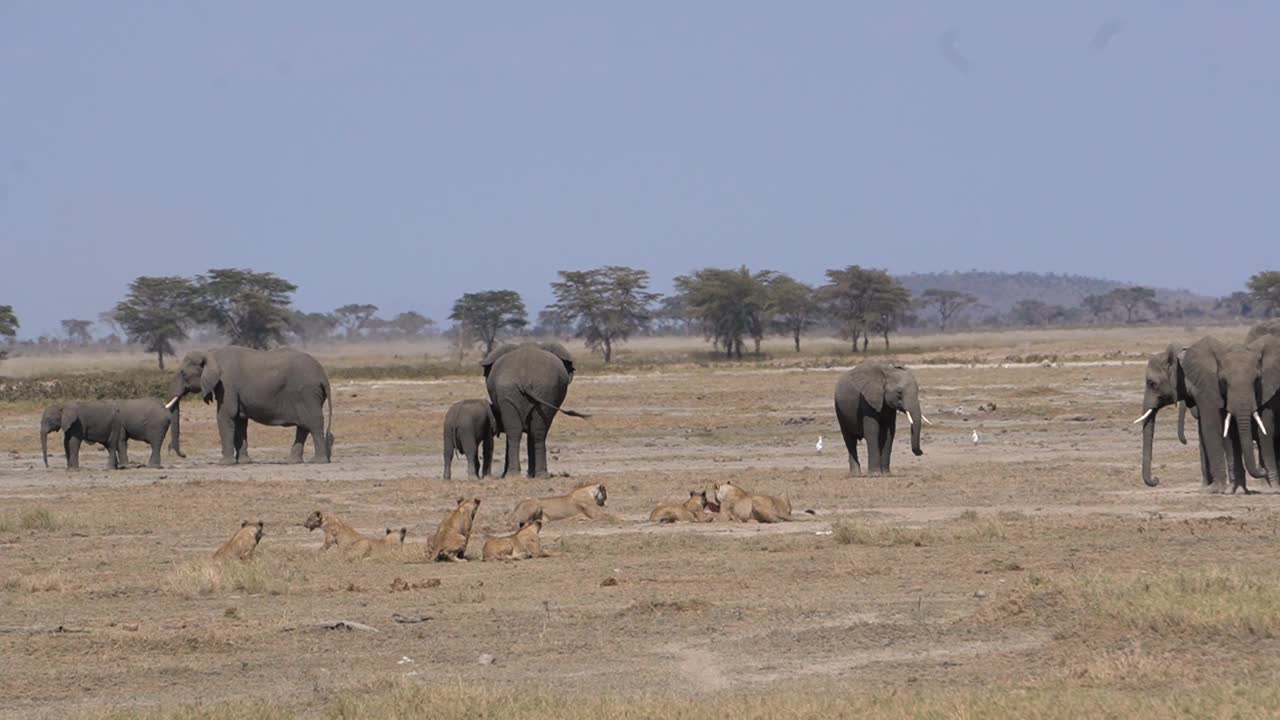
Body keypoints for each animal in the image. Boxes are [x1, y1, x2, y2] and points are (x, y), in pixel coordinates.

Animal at [165, 345, 335, 461]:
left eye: (183, 374)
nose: (184, 455)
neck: (211, 353)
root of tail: (323, 376)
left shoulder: (227, 385)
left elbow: (225, 416)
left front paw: (225, 463)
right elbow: (240, 420)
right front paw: (244, 461)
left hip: (307, 393)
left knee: (313, 423)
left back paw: (318, 461)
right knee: (304, 426)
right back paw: (293, 461)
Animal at [481, 340, 588, 476]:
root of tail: (526, 379)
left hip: (537, 391)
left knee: (525, 431)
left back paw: (524, 475)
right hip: (530, 391)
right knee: (533, 431)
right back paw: (533, 475)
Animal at [1141, 335, 1269, 491]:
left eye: (1152, 384)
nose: (1156, 479)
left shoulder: (1207, 387)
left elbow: (1210, 427)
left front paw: (1215, 489)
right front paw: (1215, 488)